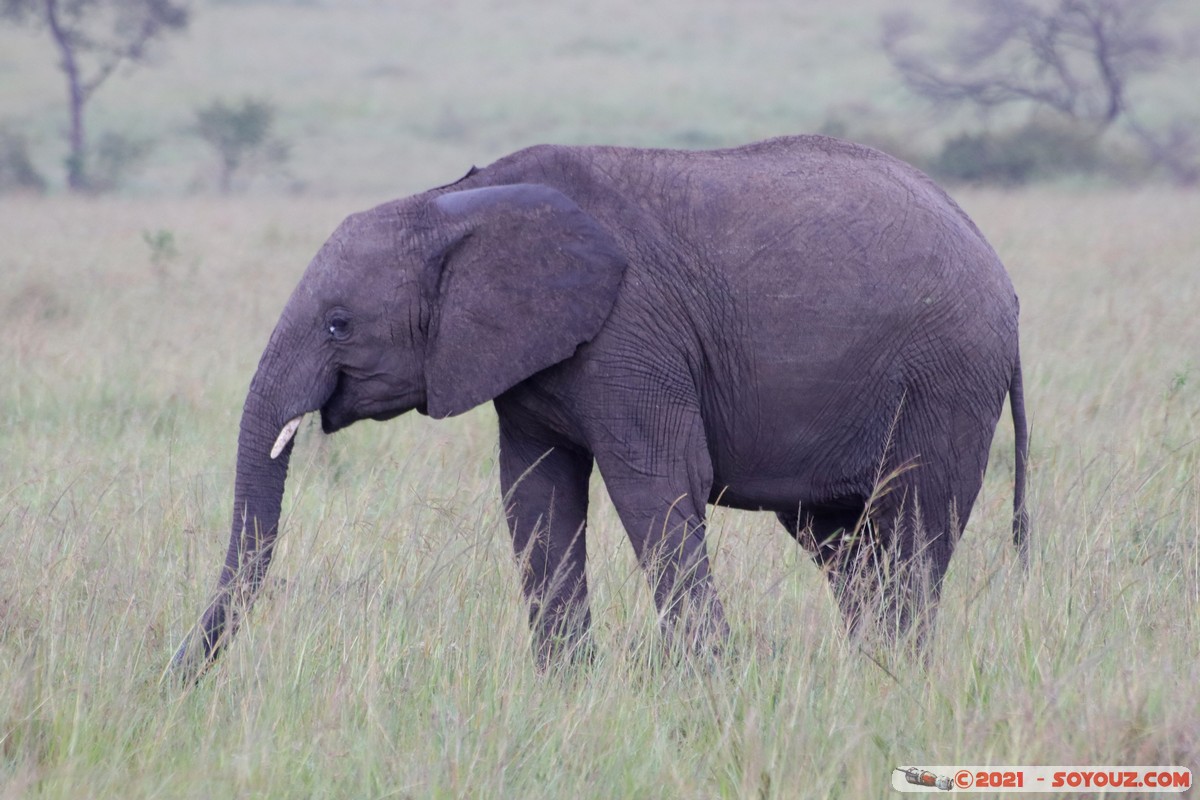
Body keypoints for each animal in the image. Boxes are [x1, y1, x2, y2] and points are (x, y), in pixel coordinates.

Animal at [174, 133, 1027, 681]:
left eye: (339, 324)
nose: (174, 673)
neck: (456, 200)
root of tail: (1004, 280)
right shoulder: (525, 354)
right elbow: (535, 496)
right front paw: (568, 689)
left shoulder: (631, 334)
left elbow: (656, 485)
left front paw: (709, 685)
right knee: (845, 547)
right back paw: (867, 677)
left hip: (945, 378)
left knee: (912, 528)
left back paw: (898, 677)